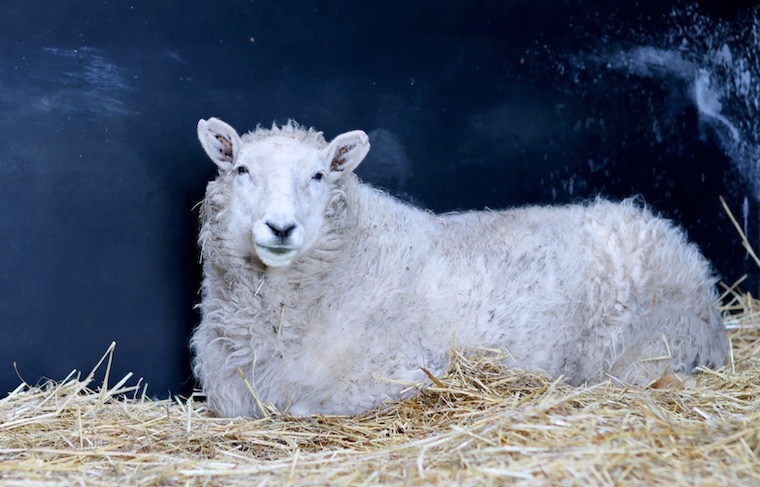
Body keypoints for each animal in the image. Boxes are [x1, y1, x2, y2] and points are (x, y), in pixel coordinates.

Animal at [191, 117, 729, 418]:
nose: (280, 227)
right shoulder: (228, 394)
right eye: (242, 169)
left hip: (645, 349)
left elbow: (298, 409)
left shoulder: (396, 374)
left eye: (319, 175)